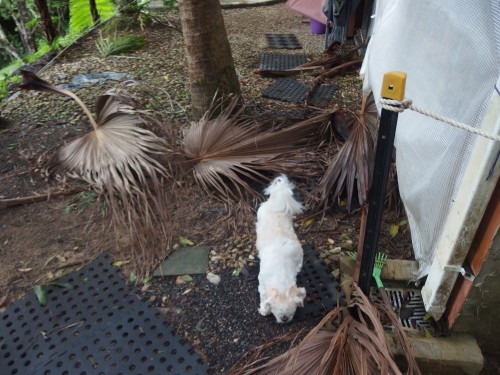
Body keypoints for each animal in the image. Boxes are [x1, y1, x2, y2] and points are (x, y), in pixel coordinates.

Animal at [256, 175, 306, 324]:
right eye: (276, 312)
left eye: (292, 312)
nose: (285, 319)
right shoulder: (262, 284)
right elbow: (263, 298)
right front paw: (264, 310)